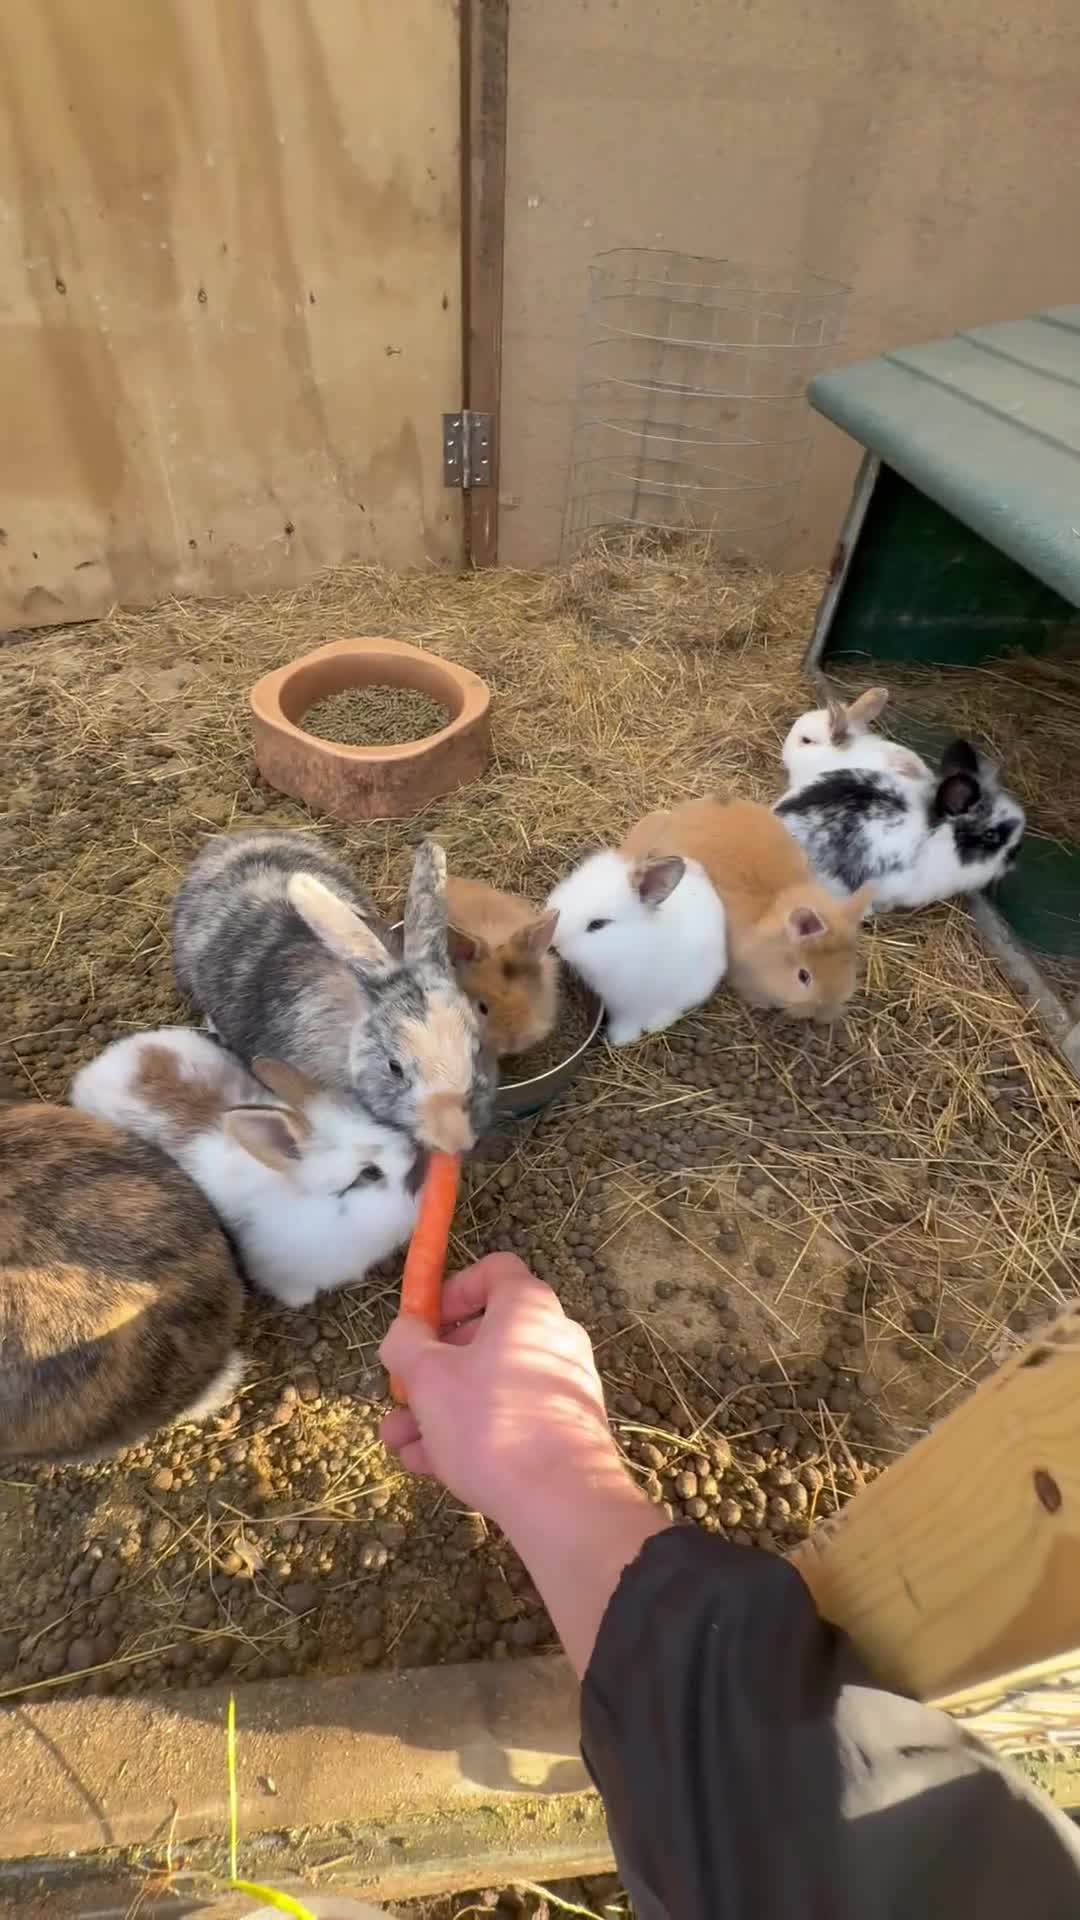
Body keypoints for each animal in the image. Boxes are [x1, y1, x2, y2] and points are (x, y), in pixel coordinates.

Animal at [547, 844, 727, 1047]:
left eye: (598, 924)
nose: (555, 944)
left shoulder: (631, 1002)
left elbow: (630, 1020)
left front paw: (620, 1039)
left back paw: (658, 1023)